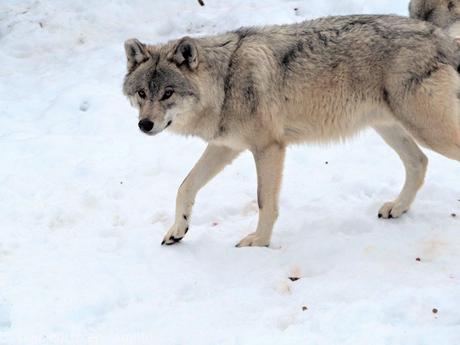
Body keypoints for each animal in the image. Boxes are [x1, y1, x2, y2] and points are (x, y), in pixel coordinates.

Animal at [122, 14, 460, 247]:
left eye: (167, 93)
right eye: (142, 93)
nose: (144, 125)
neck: (226, 81)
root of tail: (439, 36)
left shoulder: (269, 148)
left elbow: (264, 202)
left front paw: (259, 242)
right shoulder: (226, 147)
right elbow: (185, 187)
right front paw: (177, 231)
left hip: (427, 130)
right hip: (390, 128)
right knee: (419, 162)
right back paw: (398, 208)